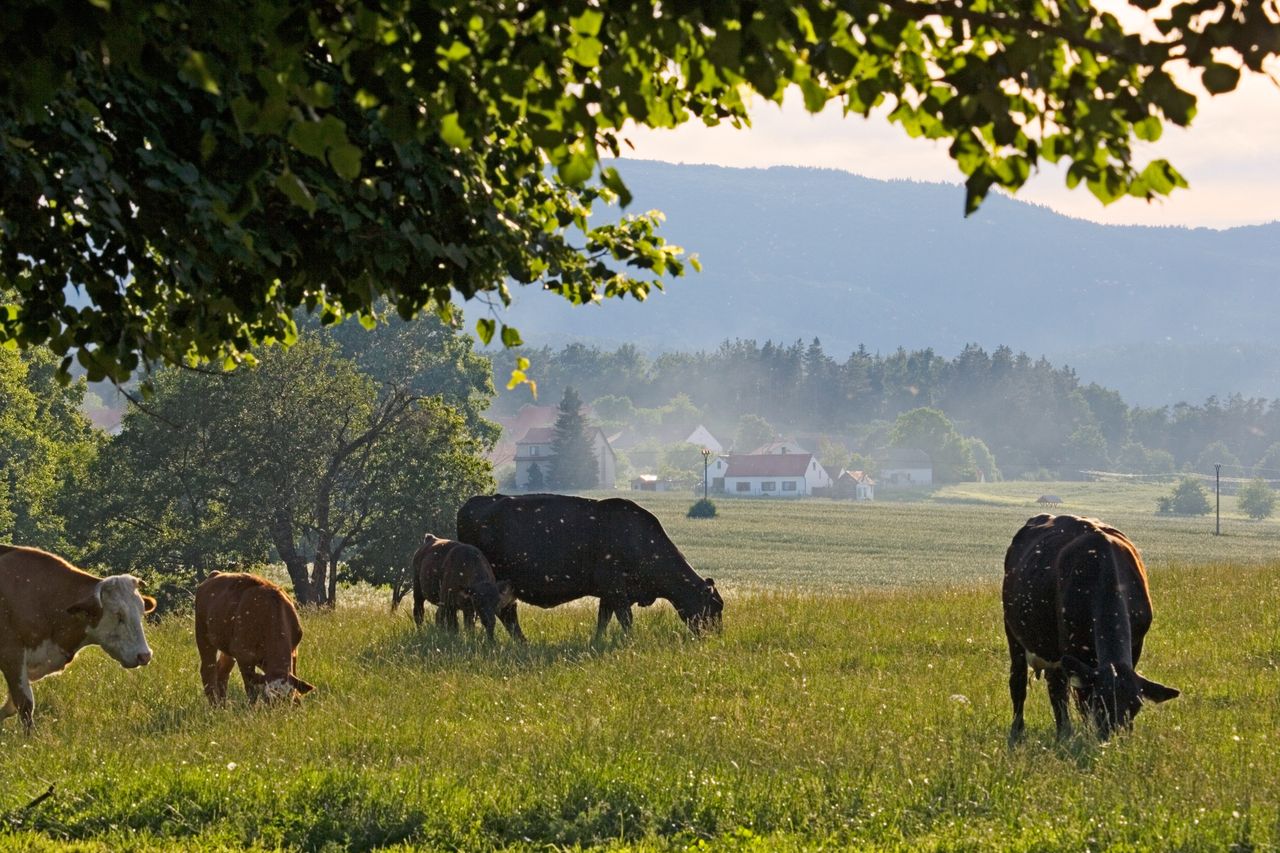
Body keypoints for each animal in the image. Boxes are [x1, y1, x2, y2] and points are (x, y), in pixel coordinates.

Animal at [0, 545, 157, 732]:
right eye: (118, 614)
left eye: (141, 611)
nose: (144, 655)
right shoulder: (11, 655)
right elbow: (25, 704)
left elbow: (10, 706)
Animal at [194, 571, 314, 701]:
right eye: (267, 699)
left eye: (288, 698)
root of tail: (215, 574)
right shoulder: (244, 657)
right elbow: (251, 691)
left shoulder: (294, 652)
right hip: (203, 636)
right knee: (208, 671)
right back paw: (214, 703)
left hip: (227, 648)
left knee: (222, 671)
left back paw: (222, 703)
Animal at [458, 491, 721, 637]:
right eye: (716, 606)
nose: (715, 637)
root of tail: (474, 502)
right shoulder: (616, 589)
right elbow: (626, 619)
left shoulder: (609, 593)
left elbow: (603, 620)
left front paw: (597, 641)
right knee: (499, 615)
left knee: (507, 616)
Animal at [998, 507, 1177, 742]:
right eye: (1100, 703)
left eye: (1136, 707)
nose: (1114, 740)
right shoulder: (1073, 650)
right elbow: (1081, 700)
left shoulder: (1136, 644)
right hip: (1016, 635)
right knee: (1023, 684)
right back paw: (1027, 732)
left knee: (1055, 686)